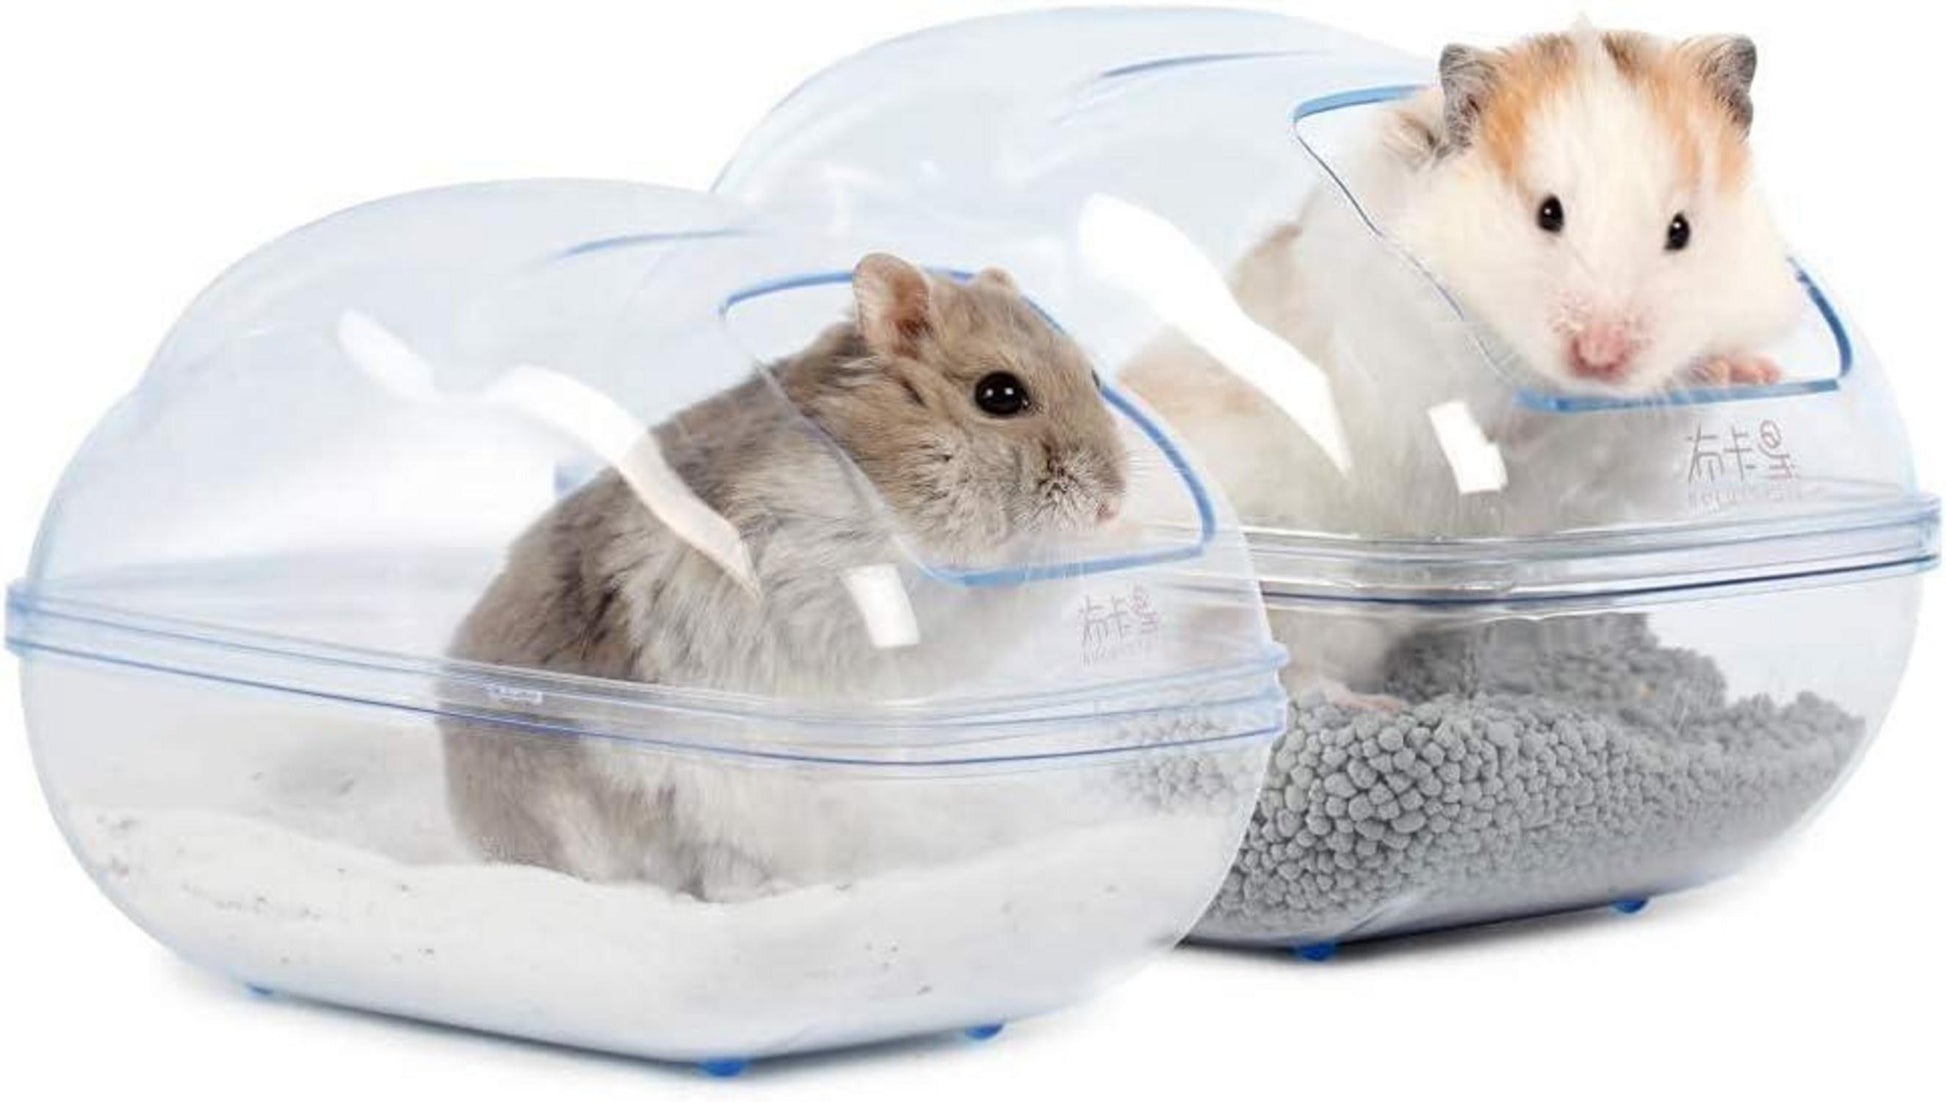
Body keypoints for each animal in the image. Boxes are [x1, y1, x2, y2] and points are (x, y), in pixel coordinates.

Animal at [1123, 25, 1804, 693]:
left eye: (1680, 230)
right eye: (1548, 213)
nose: (1599, 357)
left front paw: (1746, 370)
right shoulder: (1413, 382)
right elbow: (1498, 422)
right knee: (1292, 670)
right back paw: (1370, 705)